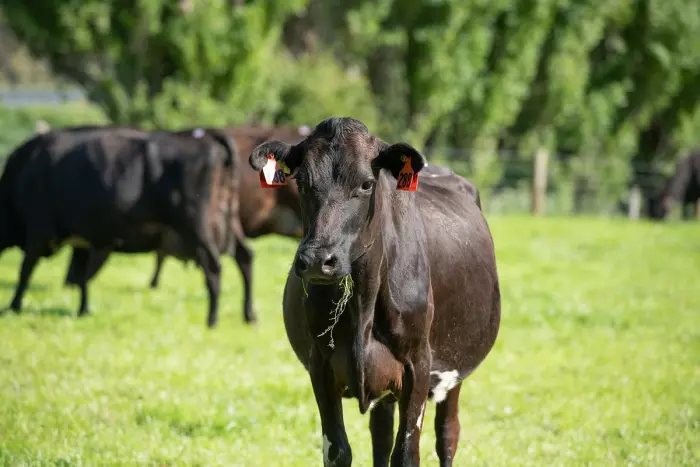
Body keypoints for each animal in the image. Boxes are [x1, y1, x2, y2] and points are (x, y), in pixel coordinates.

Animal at [0, 125, 243, 330]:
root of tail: (203, 136)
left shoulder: (38, 231)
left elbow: (25, 271)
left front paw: (13, 306)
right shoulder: (81, 241)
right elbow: (81, 277)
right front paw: (83, 310)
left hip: (196, 226)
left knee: (213, 267)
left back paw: (212, 320)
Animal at [249, 118, 500, 467]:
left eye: (367, 184)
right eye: (301, 181)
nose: (317, 260)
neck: (363, 304)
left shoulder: (418, 366)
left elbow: (407, 453)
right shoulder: (320, 365)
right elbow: (339, 450)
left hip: (455, 369)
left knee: (448, 435)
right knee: (381, 435)